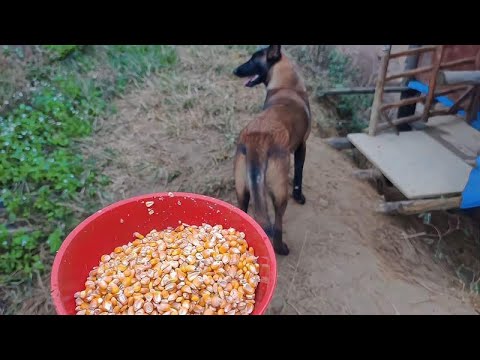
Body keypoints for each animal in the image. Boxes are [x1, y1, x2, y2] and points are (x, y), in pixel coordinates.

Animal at [232, 45, 312, 256]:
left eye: (253, 60)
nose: (235, 71)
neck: (287, 86)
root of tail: (256, 139)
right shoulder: (302, 146)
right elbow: (299, 175)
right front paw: (299, 197)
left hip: (242, 190)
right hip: (279, 193)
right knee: (277, 223)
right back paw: (281, 248)